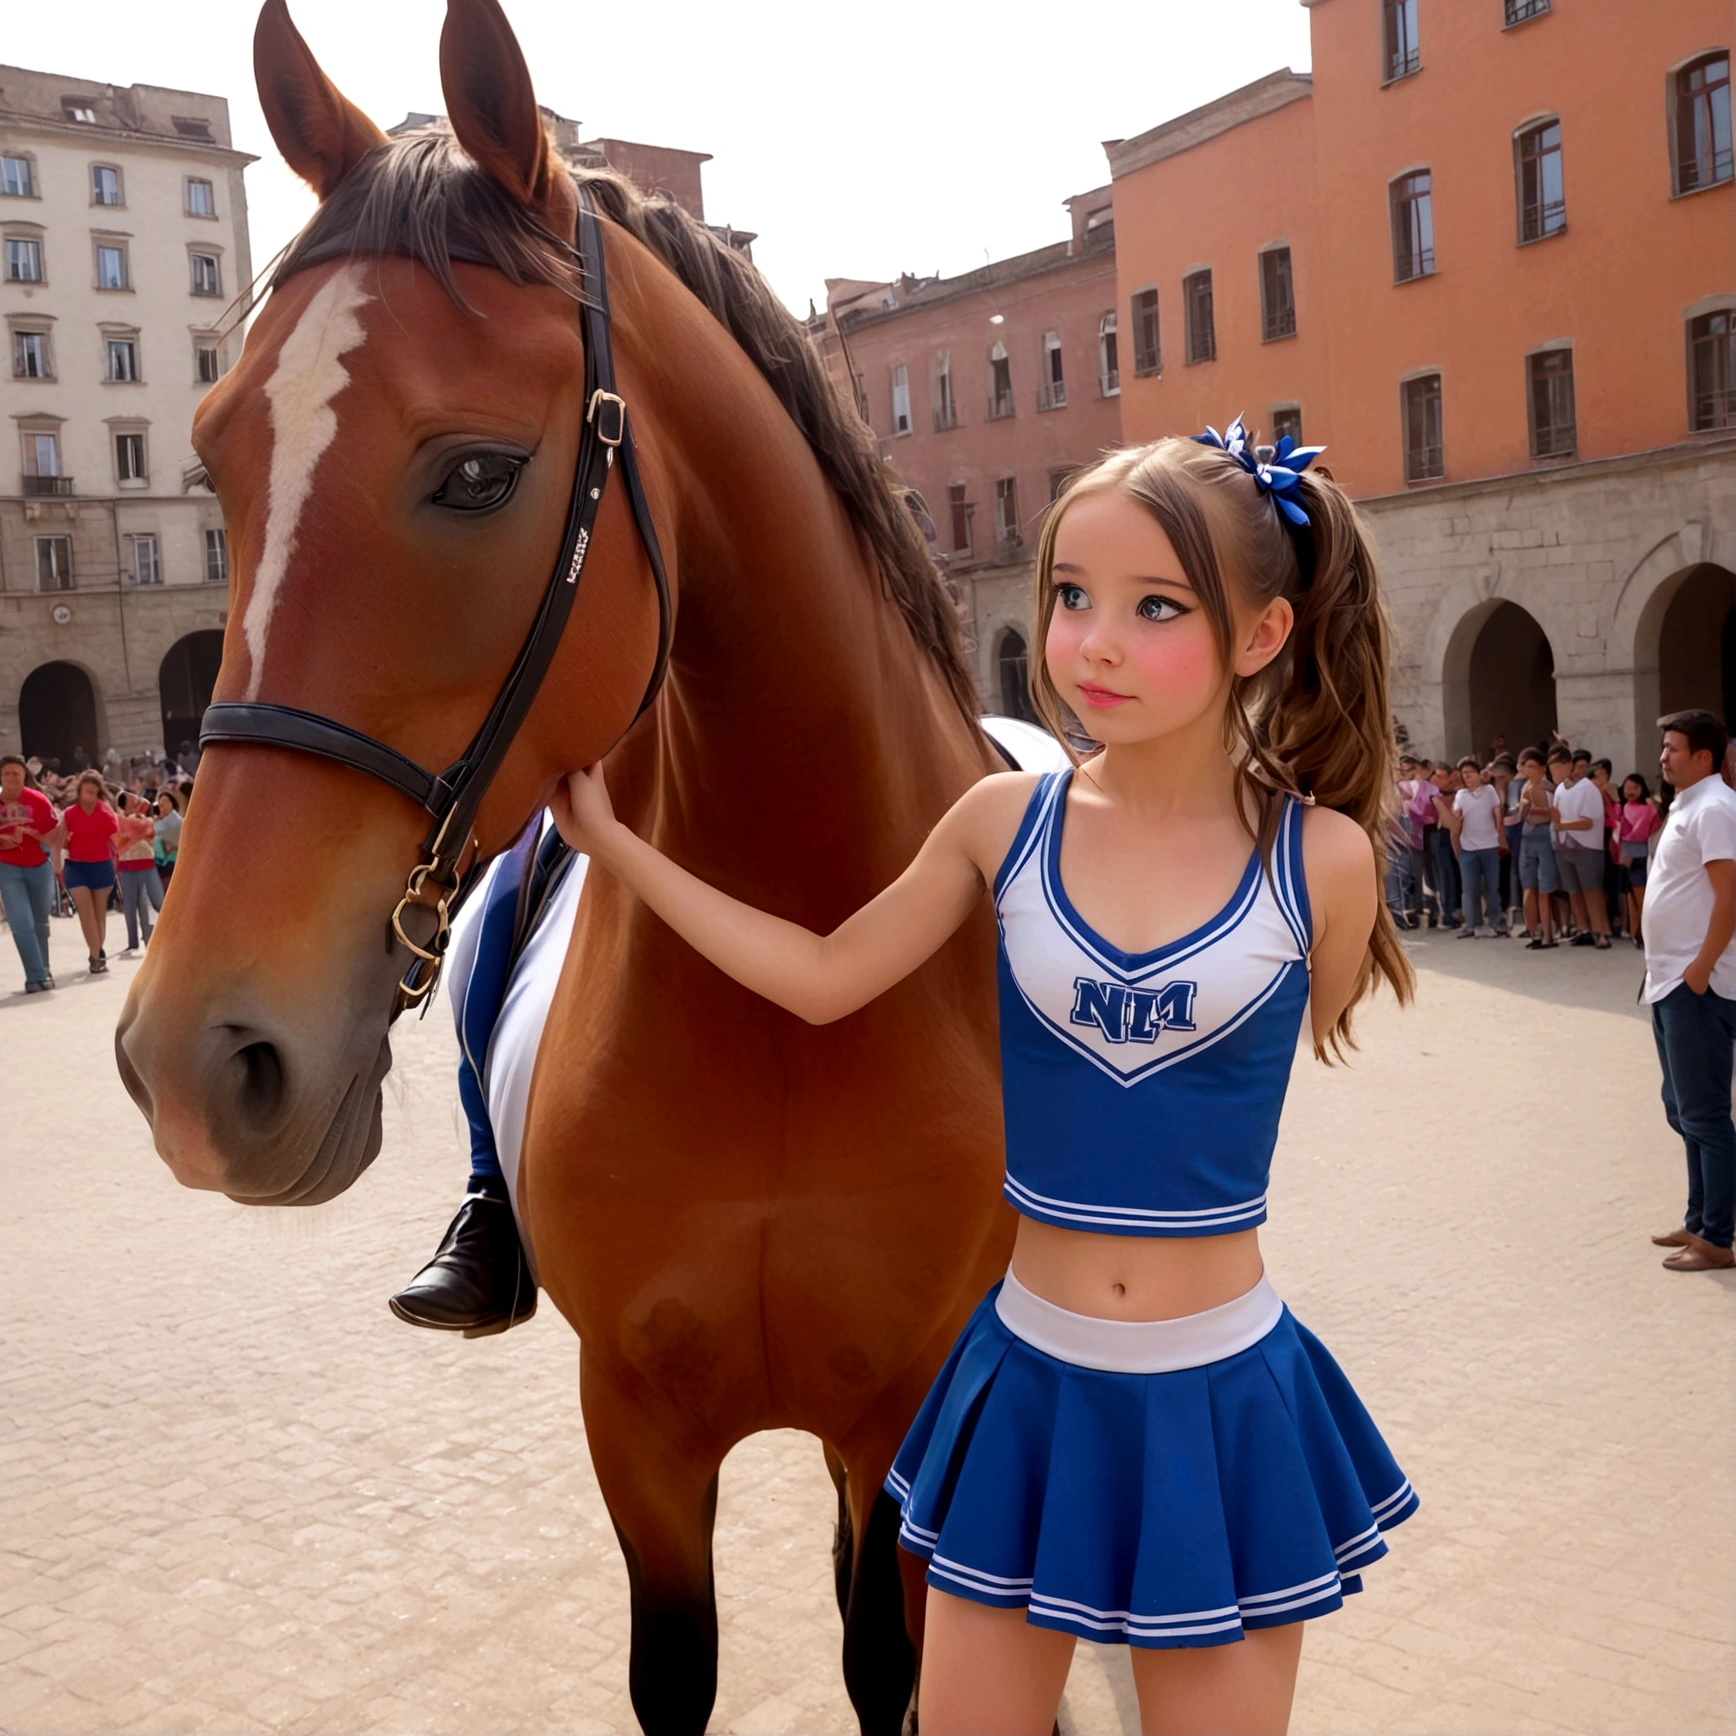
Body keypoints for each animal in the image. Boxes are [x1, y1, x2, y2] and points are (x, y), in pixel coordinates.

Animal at [115, 6, 1013, 1729]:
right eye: (215, 456)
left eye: (474, 472)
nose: (196, 1058)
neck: (800, 980)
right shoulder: (640, 1428)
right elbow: (678, 1671)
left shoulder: (904, 1418)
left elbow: (895, 1665)